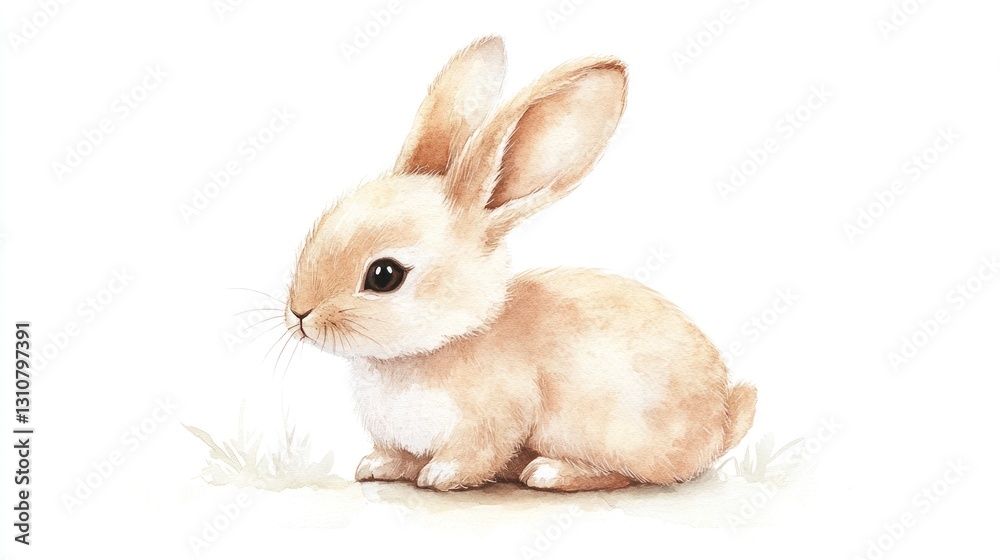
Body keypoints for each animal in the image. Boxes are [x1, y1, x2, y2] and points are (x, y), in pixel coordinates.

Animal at [283, 36, 756, 492]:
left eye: (385, 276)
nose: (301, 314)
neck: (443, 341)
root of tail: (719, 426)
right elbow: (397, 455)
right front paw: (375, 466)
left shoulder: (496, 417)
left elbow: (476, 454)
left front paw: (441, 476)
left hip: (603, 430)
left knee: (629, 474)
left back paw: (550, 472)